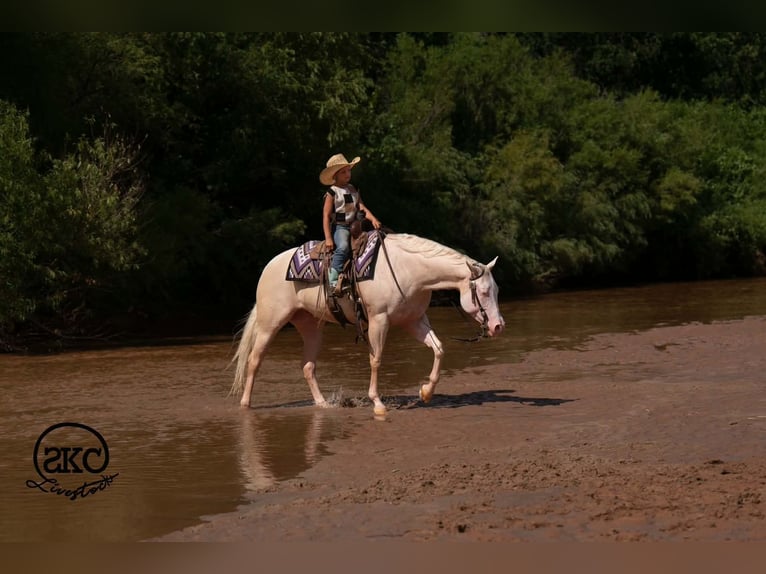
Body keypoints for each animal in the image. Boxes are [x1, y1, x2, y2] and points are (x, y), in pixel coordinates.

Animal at [230, 232, 505, 417]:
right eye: (483, 292)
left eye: (496, 290)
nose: (498, 326)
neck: (409, 270)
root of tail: (269, 266)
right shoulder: (378, 321)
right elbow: (376, 360)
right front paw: (378, 404)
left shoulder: (414, 321)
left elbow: (438, 349)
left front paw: (426, 393)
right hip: (271, 323)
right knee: (254, 360)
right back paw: (245, 404)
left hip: (310, 326)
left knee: (308, 366)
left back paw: (322, 404)